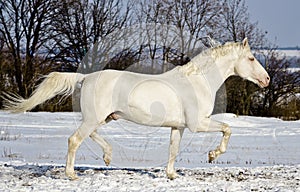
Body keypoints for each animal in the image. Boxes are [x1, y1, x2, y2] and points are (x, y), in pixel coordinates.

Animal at [2, 38, 270, 179]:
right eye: (251, 58)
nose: (266, 80)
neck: (198, 81)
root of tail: (85, 77)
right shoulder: (198, 124)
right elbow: (227, 128)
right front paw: (213, 155)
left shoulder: (179, 127)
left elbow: (173, 150)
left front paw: (171, 175)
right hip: (95, 118)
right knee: (74, 139)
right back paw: (71, 174)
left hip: (103, 117)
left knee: (89, 135)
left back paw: (108, 156)